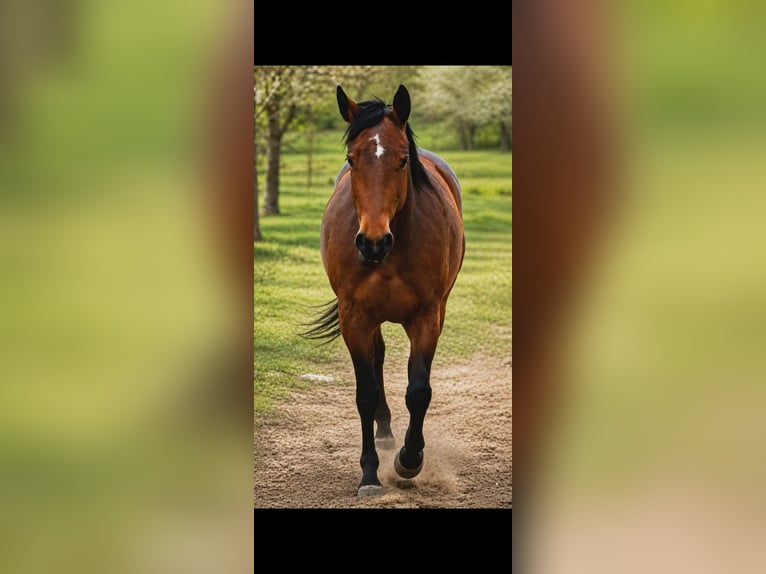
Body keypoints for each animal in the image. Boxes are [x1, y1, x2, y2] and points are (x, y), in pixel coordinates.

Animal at [302, 84, 465, 496]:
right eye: (352, 158)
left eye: (403, 160)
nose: (372, 242)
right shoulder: (354, 317)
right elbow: (366, 392)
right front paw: (370, 474)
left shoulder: (427, 316)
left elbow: (419, 390)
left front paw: (409, 460)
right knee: (377, 362)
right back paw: (384, 430)